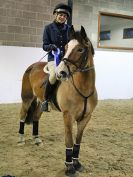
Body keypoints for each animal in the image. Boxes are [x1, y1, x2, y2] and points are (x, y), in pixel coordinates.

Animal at [17, 25, 97, 176]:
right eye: (65, 47)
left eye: (80, 49)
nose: (61, 73)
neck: (82, 89)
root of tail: (32, 66)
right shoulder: (68, 116)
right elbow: (69, 140)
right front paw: (69, 167)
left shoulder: (86, 118)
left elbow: (78, 141)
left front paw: (77, 164)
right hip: (27, 99)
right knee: (23, 116)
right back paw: (20, 139)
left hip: (40, 102)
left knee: (36, 117)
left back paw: (37, 139)